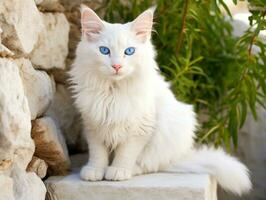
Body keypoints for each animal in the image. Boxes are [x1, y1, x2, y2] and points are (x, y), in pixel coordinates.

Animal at [68, 4, 251, 195]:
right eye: (104, 51)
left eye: (129, 51)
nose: (117, 66)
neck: (113, 92)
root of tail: (179, 157)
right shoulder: (93, 125)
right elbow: (98, 153)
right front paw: (95, 170)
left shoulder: (140, 129)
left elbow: (126, 153)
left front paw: (118, 170)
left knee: (151, 165)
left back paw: (131, 170)